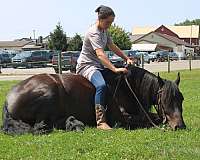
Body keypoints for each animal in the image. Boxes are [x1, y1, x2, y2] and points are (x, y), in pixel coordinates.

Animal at [1, 65, 186, 134]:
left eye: (181, 99)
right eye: (165, 100)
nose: (180, 126)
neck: (127, 88)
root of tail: (9, 97)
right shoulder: (124, 117)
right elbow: (146, 121)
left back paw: (73, 123)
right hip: (48, 93)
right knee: (43, 125)